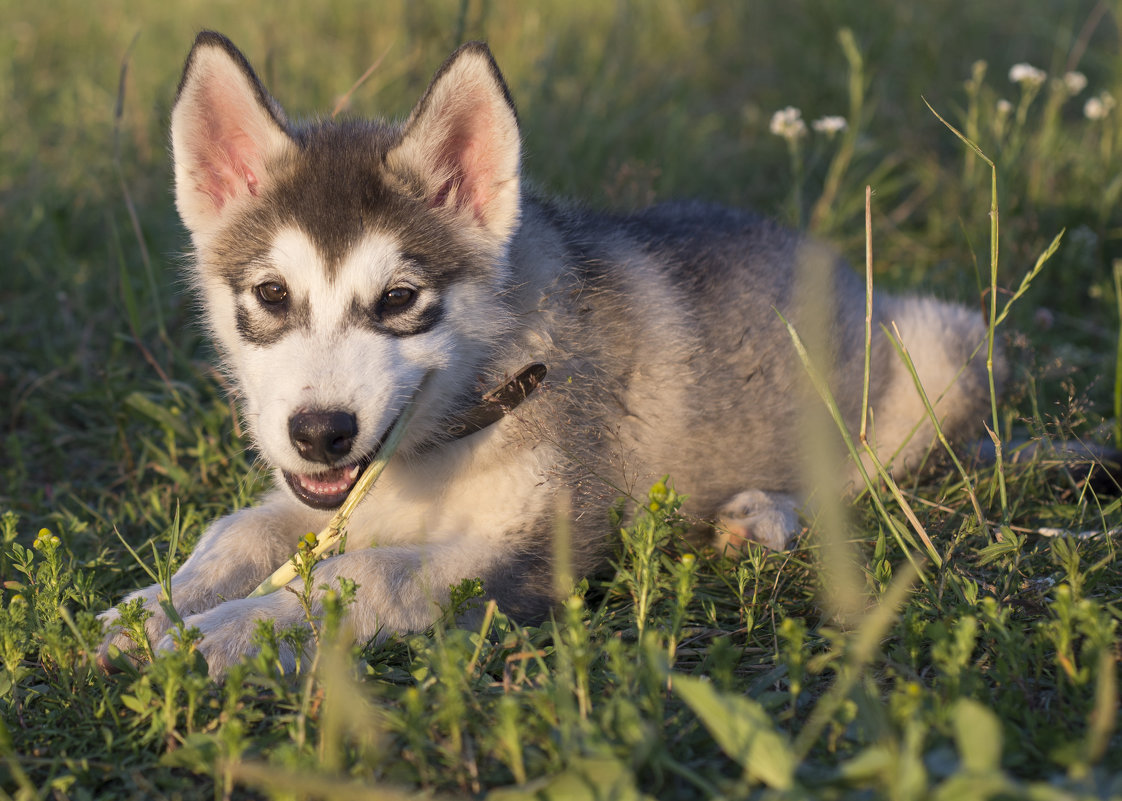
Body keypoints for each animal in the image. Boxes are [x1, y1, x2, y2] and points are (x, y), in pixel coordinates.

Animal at [96, 32, 991, 673]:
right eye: (273, 295)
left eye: (399, 299)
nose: (321, 432)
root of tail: (830, 262)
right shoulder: (332, 499)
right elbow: (239, 529)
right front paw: (156, 609)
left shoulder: (540, 549)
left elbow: (369, 575)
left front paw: (220, 634)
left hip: (942, 345)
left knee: (861, 475)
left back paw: (762, 514)